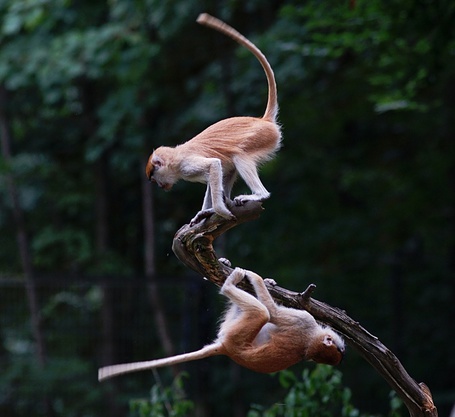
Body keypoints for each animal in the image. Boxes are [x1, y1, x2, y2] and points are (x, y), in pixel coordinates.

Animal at [98, 266, 344, 380]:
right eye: (340, 349)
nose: (343, 348)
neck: (310, 344)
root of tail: (226, 348)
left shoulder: (303, 322)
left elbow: (273, 313)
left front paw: (255, 277)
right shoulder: (305, 324)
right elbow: (273, 312)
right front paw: (266, 280)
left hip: (236, 334)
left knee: (261, 313)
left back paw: (229, 284)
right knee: (260, 313)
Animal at [146, 13, 282, 224]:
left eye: (154, 177)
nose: (160, 186)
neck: (175, 156)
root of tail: (264, 121)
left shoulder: (186, 166)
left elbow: (213, 165)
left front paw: (220, 210)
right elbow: (216, 171)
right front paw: (204, 212)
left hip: (262, 136)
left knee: (239, 155)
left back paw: (258, 195)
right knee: (230, 166)